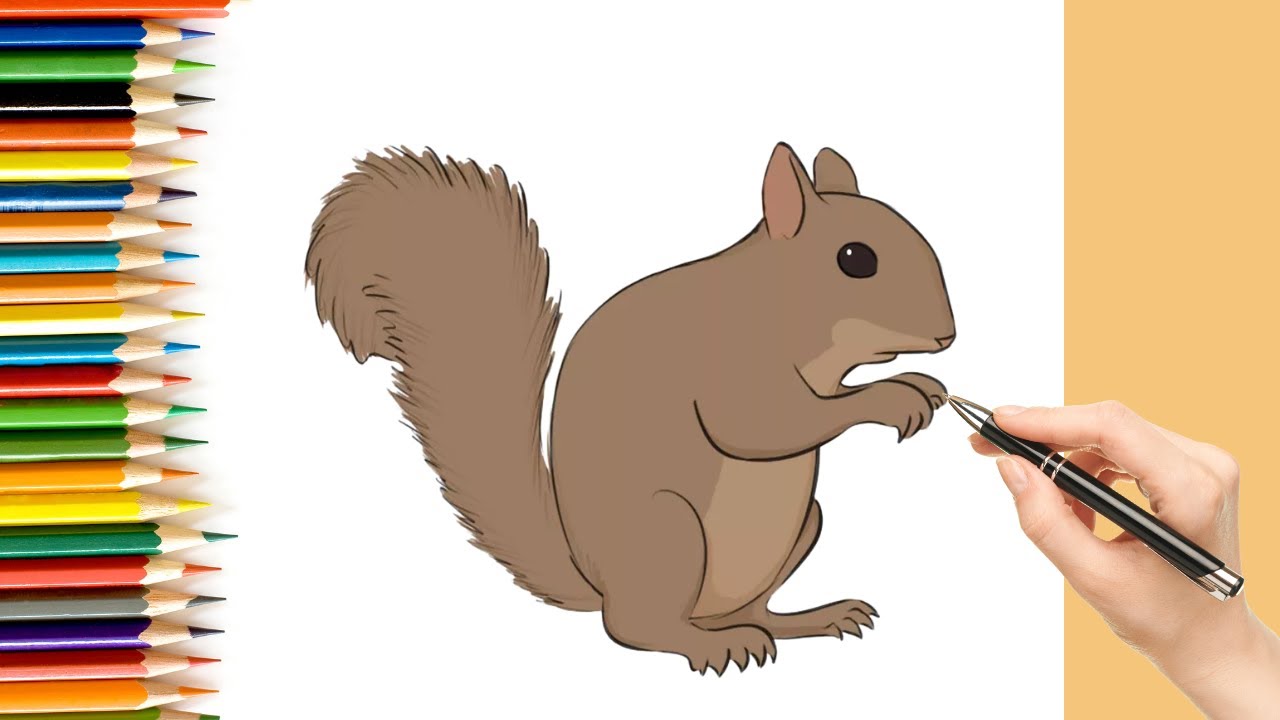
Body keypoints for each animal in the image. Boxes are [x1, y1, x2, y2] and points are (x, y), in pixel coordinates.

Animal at [305, 142, 955, 674]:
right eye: (855, 258)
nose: (947, 336)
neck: (772, 301)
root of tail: (599, 585)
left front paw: (923, 384)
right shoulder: (729, 368)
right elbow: (764, 425)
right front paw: (895, 397)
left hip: (804, 523)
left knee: (752, 612)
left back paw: (810, 619)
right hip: (669, 533)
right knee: (635, 629)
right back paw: (710, 647)